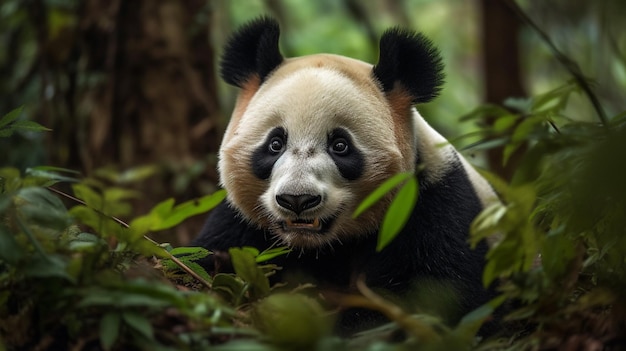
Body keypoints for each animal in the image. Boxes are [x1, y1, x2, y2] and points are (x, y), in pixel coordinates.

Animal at [190, 17, 498, 338]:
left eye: (340, 145)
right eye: (275, 144)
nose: (297, 199)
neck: (318, 247)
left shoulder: (431, 204)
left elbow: (434, 298)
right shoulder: (241, 224)